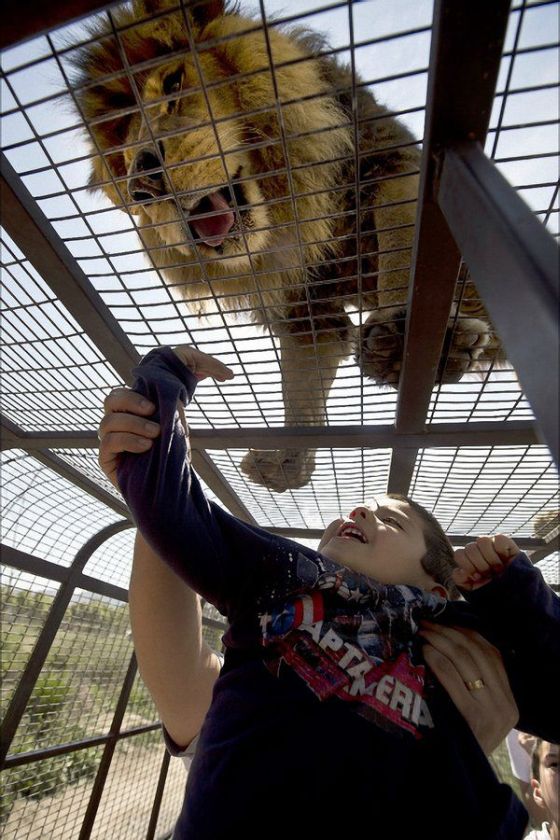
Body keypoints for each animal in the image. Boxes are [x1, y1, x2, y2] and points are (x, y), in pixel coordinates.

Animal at [71, 0, 504, 492]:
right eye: (122, 161)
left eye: (174, 84)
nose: (141, 182)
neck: (289, 209)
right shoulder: (306, 310)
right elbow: (301, 385)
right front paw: (286, 461)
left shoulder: (391, 164)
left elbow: (403, 243)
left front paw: (406, 341)